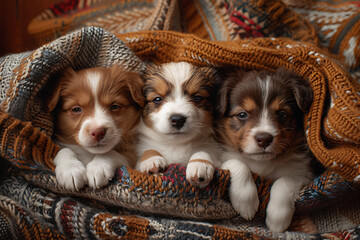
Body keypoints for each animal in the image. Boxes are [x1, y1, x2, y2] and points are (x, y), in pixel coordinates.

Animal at [215, 67, 314, 232]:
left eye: (282, 114)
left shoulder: (304, 171)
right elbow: (238, 163)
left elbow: (285, 181)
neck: (262, 163)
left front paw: (277, 219)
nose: (264, 139)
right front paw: (246, 202)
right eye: (242, 114)